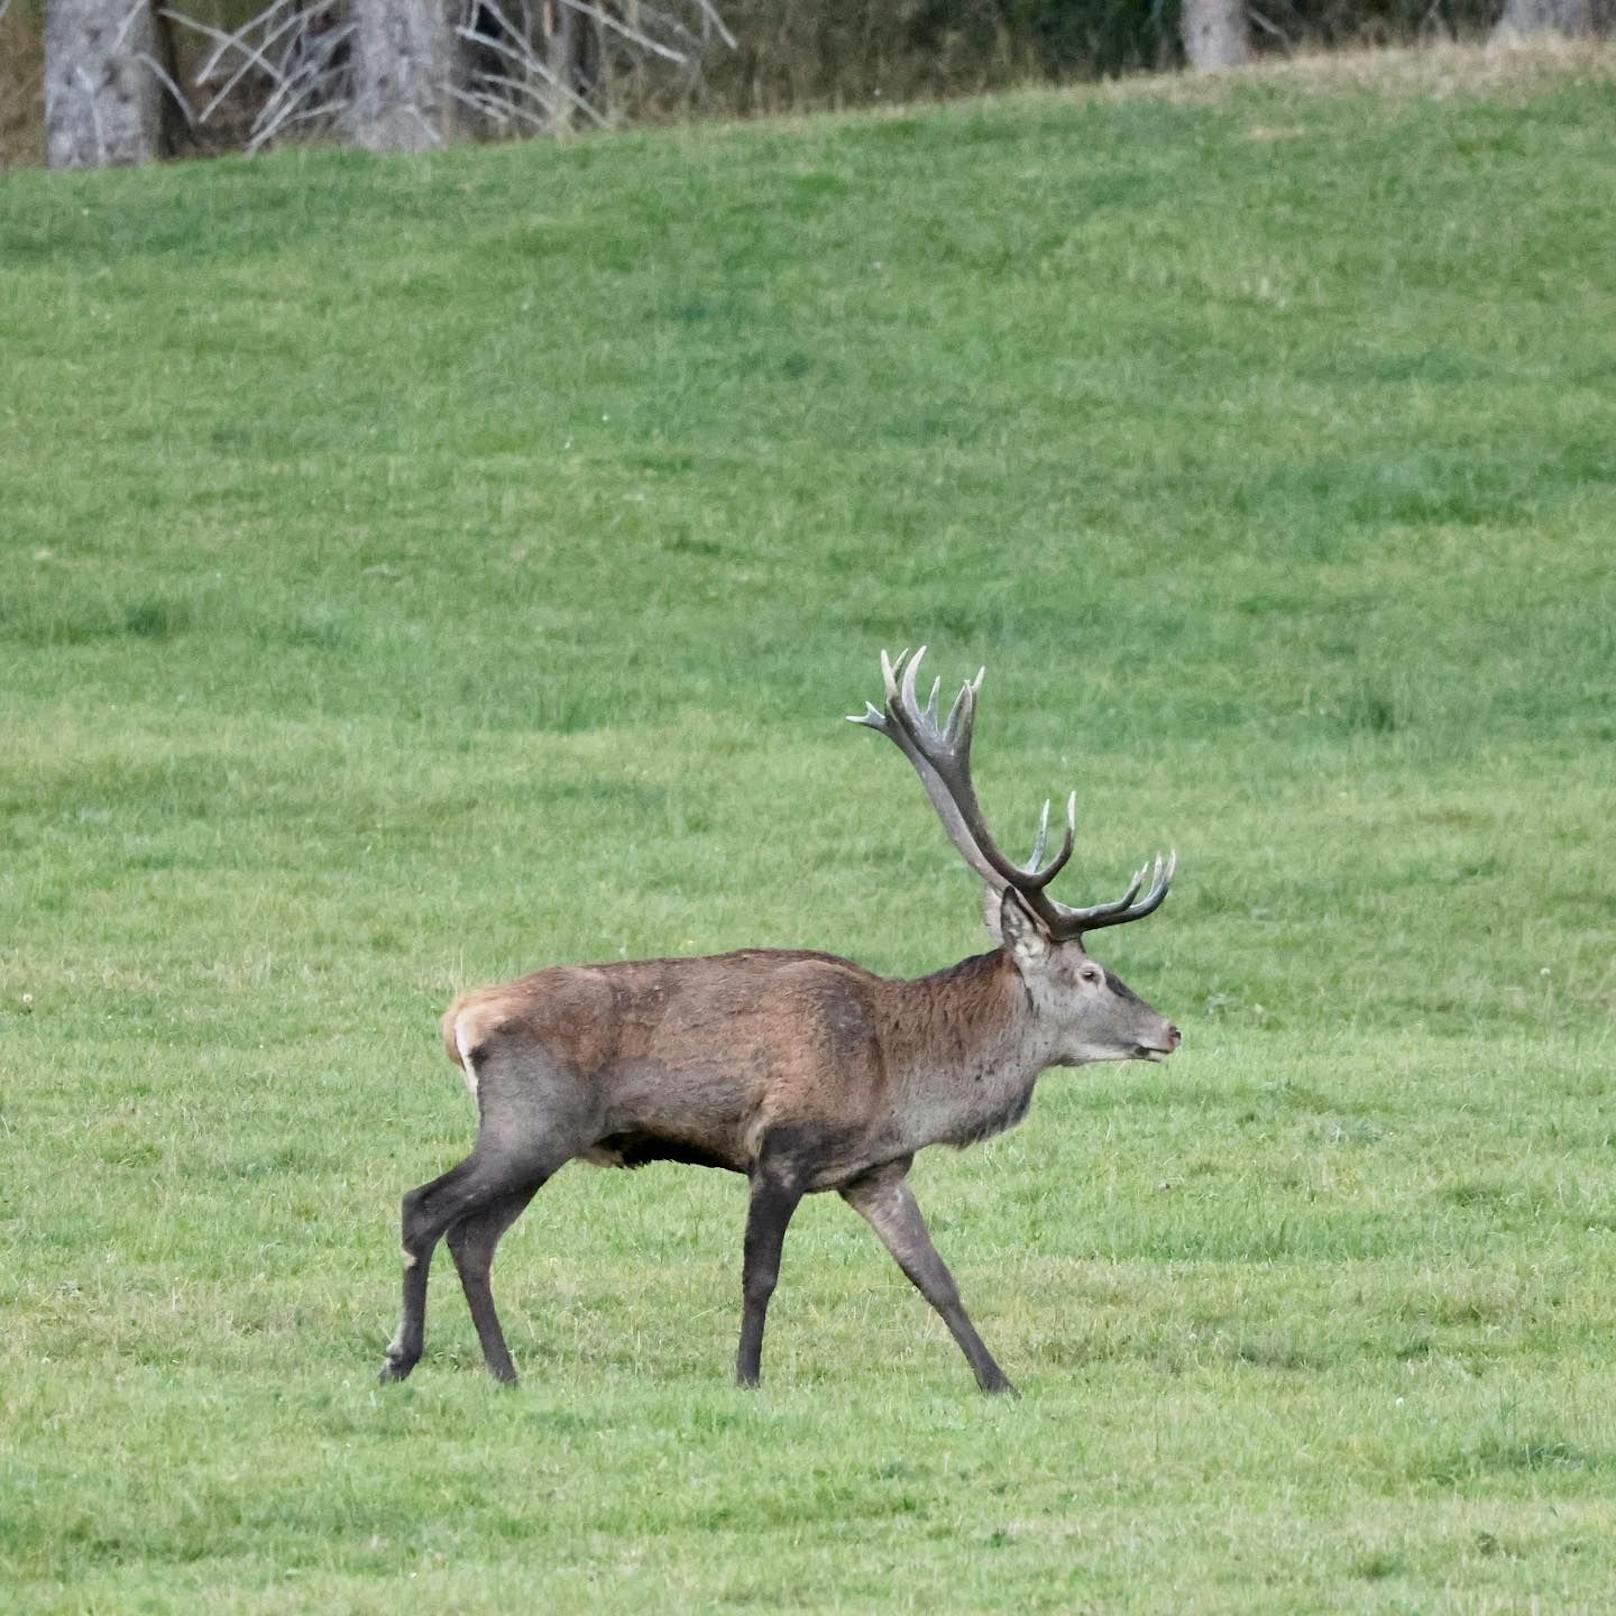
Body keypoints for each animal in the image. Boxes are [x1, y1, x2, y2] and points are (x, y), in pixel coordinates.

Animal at [382, 649, 1182, 1396]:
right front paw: (745, 1376)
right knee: (425, 1206)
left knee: (475, 1238)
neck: (905, 1080)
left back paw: (503, 1371)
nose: (1170, 1031)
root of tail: (460, 1017)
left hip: (545, 1140)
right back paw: (401, 1358)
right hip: (531, 1121)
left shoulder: (876, 1172)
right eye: (1091, 974)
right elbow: (759, 1275)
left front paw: (999, 1383)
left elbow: (935, 1276)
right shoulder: (780, 1150)